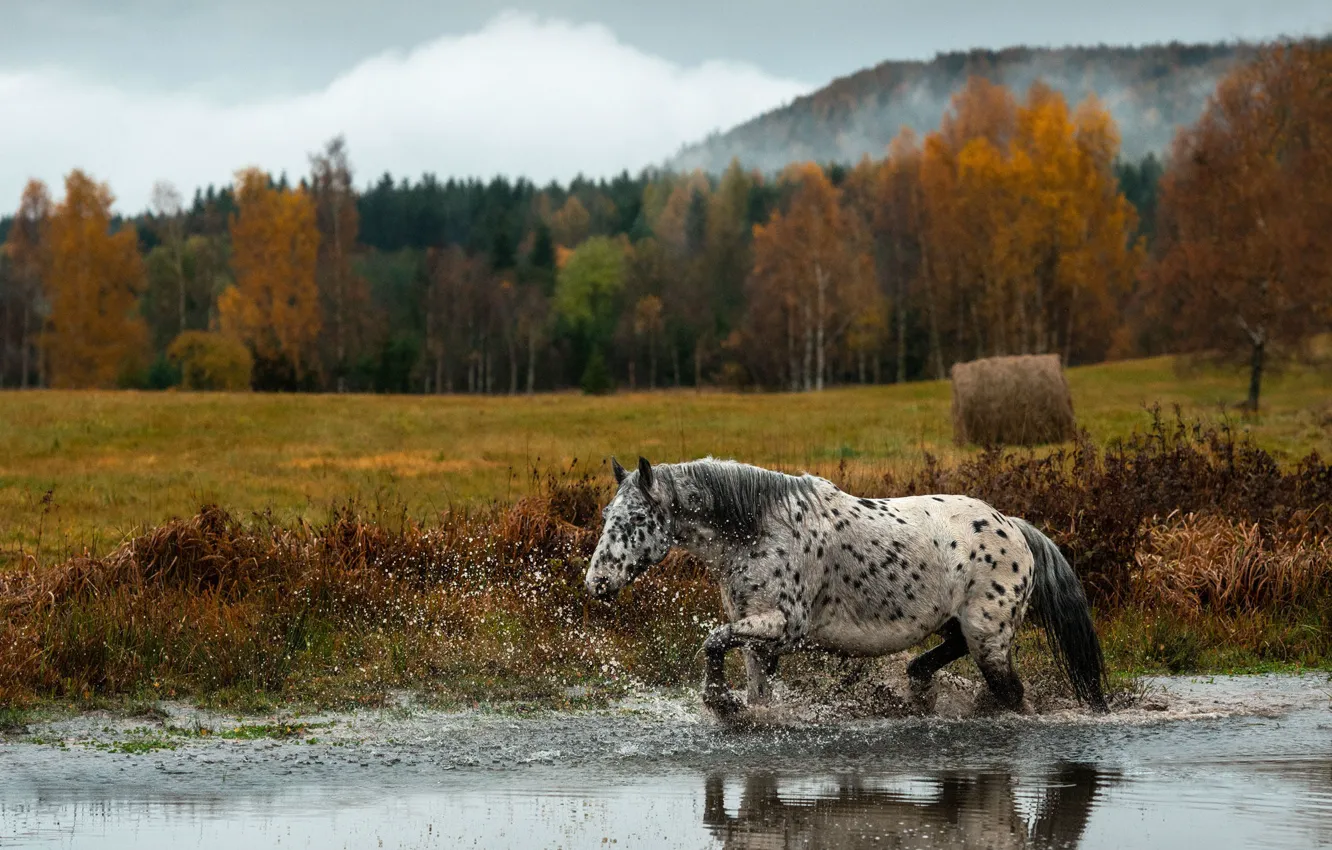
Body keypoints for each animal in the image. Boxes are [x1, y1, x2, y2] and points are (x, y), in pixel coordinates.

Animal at [583, 456, 1107, 717]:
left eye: (636, 519)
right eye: (607, 515)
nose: (596, 583)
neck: (759, 529)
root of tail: (1014, 527)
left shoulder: (784, 626)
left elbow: (712, 640)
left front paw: (718, 701)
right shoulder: (758, 635)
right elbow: (750, 683)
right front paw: (733, 708)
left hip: (990, 638)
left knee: (1011, 695)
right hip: (960, 627)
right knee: (948, 654)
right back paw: (918, 686)